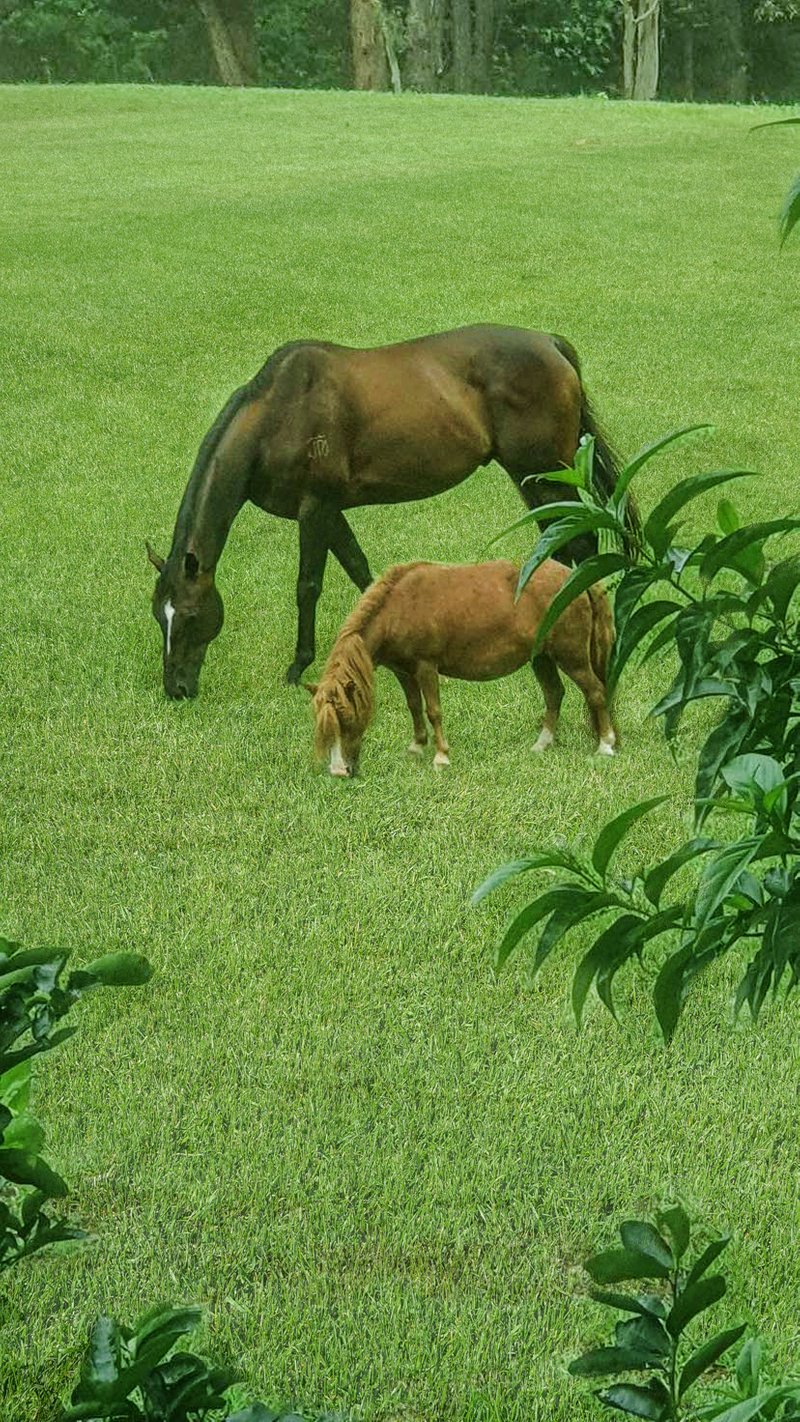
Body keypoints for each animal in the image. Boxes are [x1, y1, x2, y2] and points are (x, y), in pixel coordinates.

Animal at [147, 324, 628, 699]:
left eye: (189, 616)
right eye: (158, 615)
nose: (177, 690)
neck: (280, 415)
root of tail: (552, 344)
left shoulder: (315, 509)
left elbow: (308, 586)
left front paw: (298, 667)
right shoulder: (331, 511)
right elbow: (361, 569)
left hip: (543, 474)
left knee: (580, 545)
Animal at [309, 557, 616, 779]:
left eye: (347, 719)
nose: (339, 771)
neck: (399, 607)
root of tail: (577, 577)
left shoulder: (426, 667)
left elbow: (433, 711)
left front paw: (441, 756)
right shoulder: (403, 671)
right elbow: (414, 707)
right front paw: (416, 747)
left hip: (572, 657)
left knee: (596, 693)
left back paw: (605, 745)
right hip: (542, 657)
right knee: (554, 694)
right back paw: (542, 744)